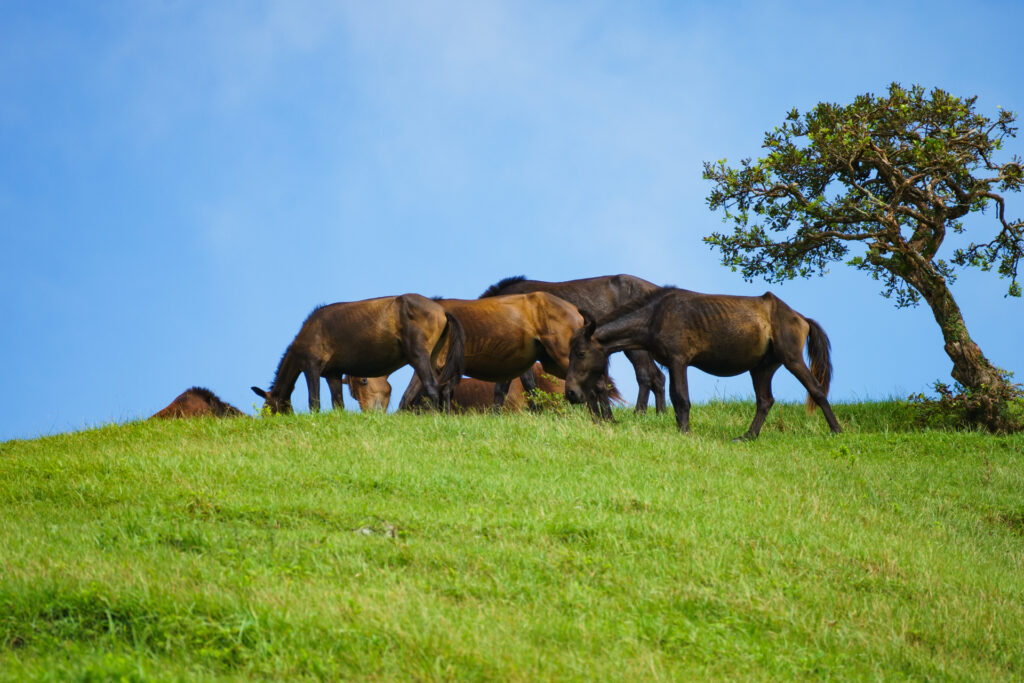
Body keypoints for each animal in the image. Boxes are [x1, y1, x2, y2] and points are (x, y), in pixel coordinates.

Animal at [253, 292, 466, 413]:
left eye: (268, 408)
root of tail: (442, 311)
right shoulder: (333, 374)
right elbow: (338, 404)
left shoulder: (311, 366)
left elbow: (314, 402)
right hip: (433, 359)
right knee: (445, 388)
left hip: (419, 357)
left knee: (433, 388)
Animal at [481, 274, 667, 413]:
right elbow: (516, 386)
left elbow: (519, 386)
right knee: (658, 377)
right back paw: (661, 414)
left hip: (635, 348)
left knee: (645, 376)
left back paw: (639, 413)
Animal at [565, 286, 843, 438]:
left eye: (580, 353)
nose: (570, 394)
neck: (656, 316)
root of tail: (801, 317)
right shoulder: (672, 363)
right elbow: (676, 400)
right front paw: (681, 429)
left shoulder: (679, 361)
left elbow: (681, 399)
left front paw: (685, 432)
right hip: (761, 368)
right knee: (765, 401)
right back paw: (747, 437)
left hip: (791, 358)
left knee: (816, 390)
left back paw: (837, 431)